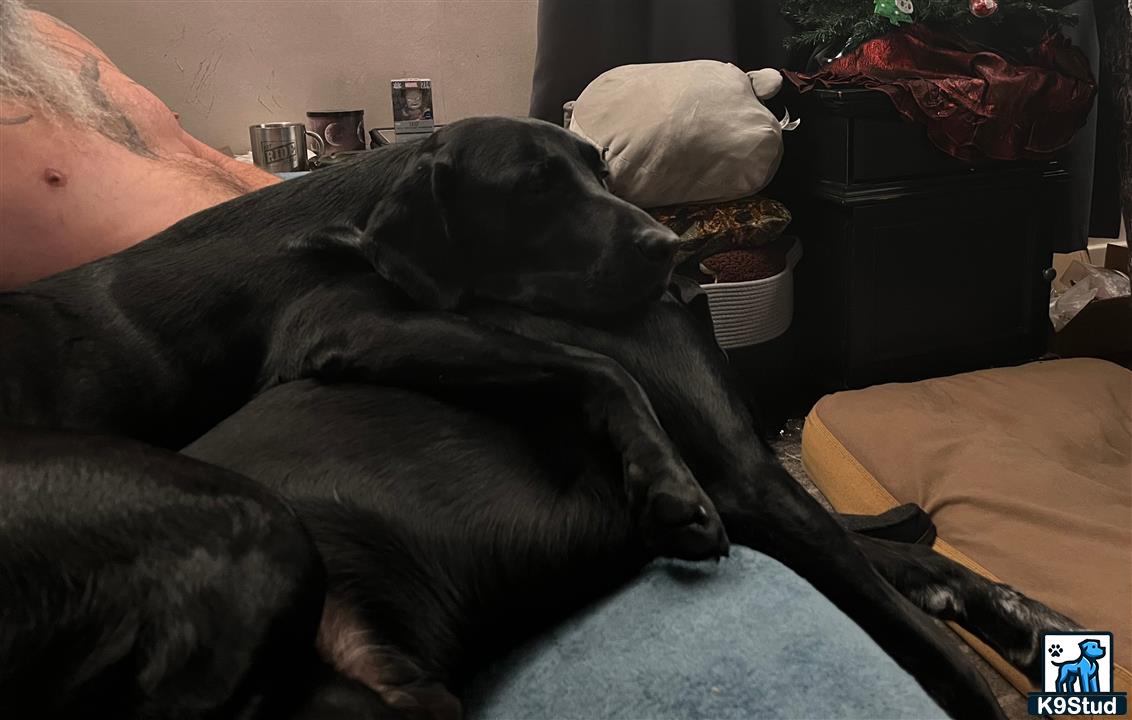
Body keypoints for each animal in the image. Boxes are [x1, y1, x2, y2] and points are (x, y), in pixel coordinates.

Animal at [0, 118, 1073, 720]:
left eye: (604, 168)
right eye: (534, 190)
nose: (674, 252)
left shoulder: (753, 482)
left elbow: (890, 559)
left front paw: (1011, 607)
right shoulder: (746, 474)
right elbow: (904, 617)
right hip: (245, 531)